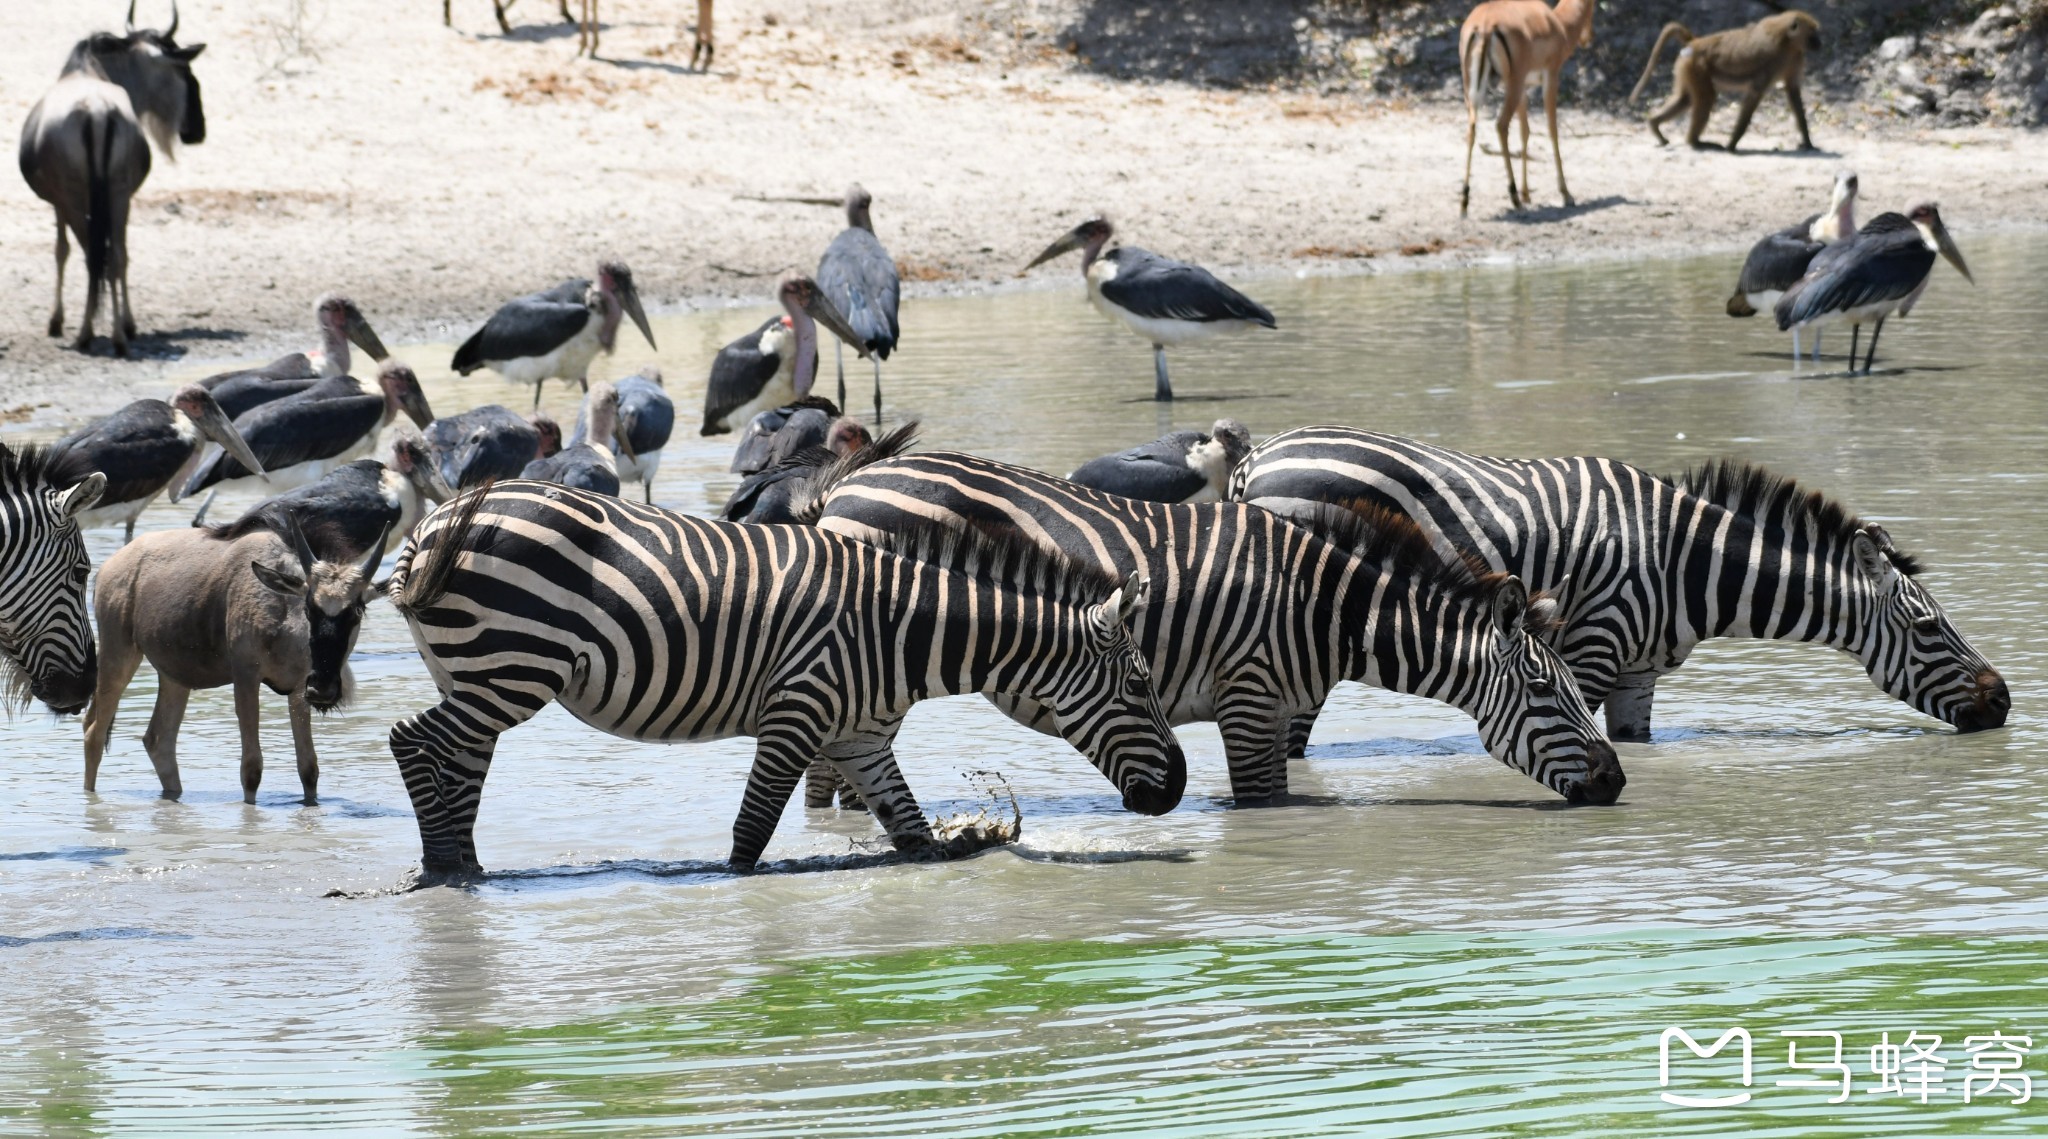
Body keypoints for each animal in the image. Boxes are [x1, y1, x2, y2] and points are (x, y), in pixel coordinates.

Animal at [385, 481, 1187, 880]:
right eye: (1138, 686)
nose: (1176, 790)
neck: (898, 624)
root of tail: (431, 526)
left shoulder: (862, 737)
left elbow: (912, 833)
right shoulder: (796, 710)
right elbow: (752, 831)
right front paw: (739, 895)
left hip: (474, 670)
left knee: (460, 764)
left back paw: (465, 870)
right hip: (513, 667)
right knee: (409, 740)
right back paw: (438, 868)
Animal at [790, 432, 1622, 807]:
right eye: (1549, 692)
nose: (1616, 782)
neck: (1319, 602)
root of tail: (849, 484)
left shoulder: (1275, 709)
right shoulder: (1249, 699)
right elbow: (1261, 804)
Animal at [1236, 426, 2007, 745]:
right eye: (1930, 627)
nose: (2004, 702)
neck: (1681, 563)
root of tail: (1257, 457)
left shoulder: (1638, 672)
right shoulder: (1592, 650)